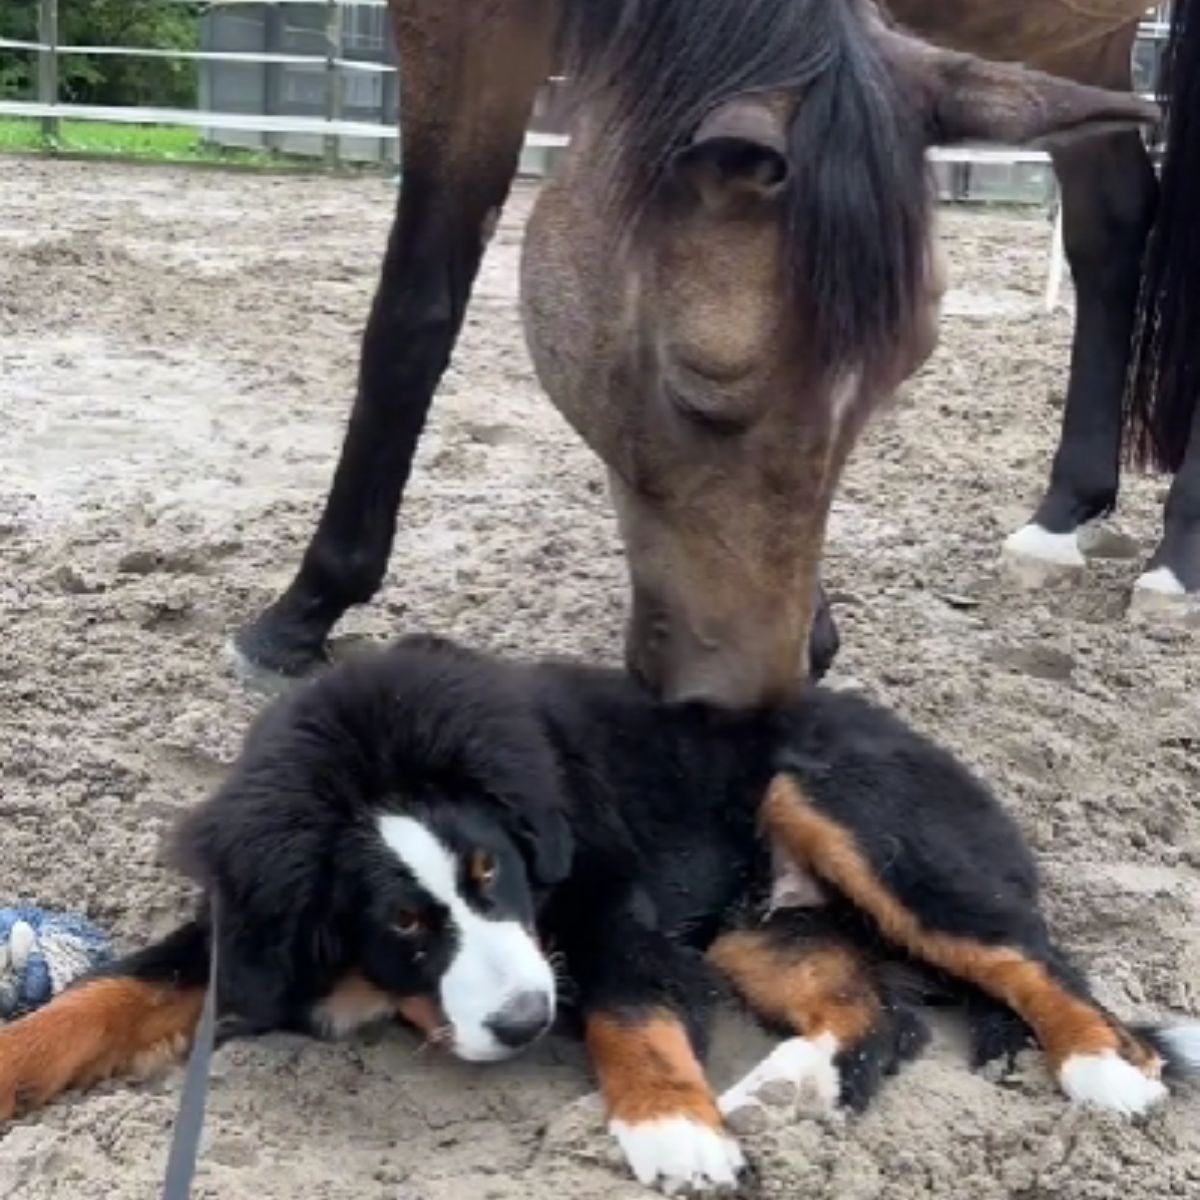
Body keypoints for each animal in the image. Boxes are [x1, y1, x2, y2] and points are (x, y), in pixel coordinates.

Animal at [0, 633, 1195, 1195]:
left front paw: (675, 1130)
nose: (528, 1023)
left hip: (856, 816)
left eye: (496, 875)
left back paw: (1105, 1066)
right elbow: (108, 994)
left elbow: (629, 1011)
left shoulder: (613, 905)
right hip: (759, 929)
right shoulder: (249, 932)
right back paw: (787, 1091)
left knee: (1035, 962)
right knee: (885, 1018)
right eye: (403, 924)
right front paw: (16, 1062)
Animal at [229, 0, 1195, 700]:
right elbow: (422, 305)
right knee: (1113, 227)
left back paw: (1174, 564)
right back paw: (1064, 514)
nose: (747, 701)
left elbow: (409, 312)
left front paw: (305, 605)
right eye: (698, 389)